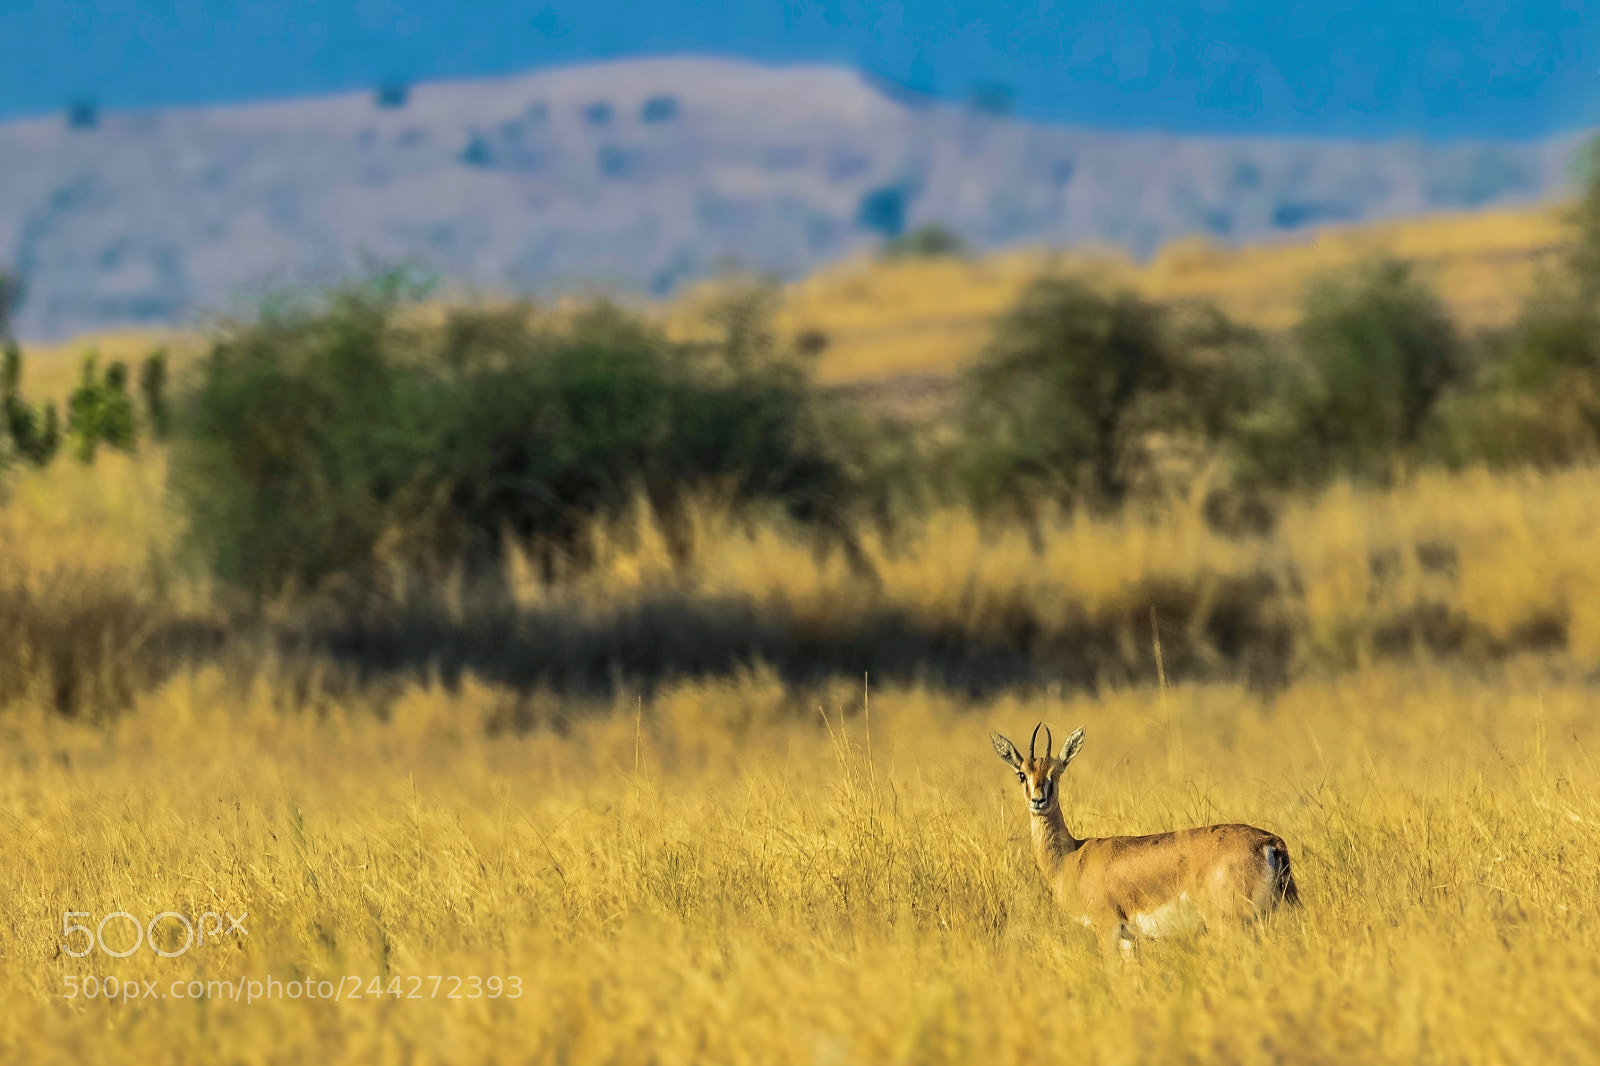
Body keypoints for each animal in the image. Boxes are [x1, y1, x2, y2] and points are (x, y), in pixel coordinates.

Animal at [991, 723, 1299, 956]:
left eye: (1055, 773)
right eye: (1022, 774)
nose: (1038, 800)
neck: (1073, 858)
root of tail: (1270, 842)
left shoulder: (1108, 930)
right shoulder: (1129, 938)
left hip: (1233, 925)